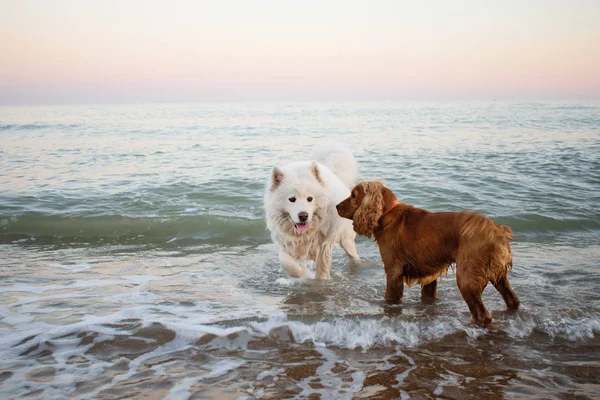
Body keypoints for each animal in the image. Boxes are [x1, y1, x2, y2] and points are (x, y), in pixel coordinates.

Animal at [264, 143, 358, 278]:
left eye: (310, 199)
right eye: (292, 199)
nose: (303, 216)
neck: (304, 235)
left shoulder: (323, 246)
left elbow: (322, 267)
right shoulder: (285, 243)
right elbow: (288, 263)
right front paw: (304, 273)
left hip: (346, 239)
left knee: (353, 255)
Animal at [338, 181, 520, 324]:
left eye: (353, 195)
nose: (336, 206)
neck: (387, 213)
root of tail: (498, 230)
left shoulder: (393, 271)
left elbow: (390, 298)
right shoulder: (429, 274)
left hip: (466, 277)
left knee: (482, 315)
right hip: (499, 276)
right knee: (513, 300)